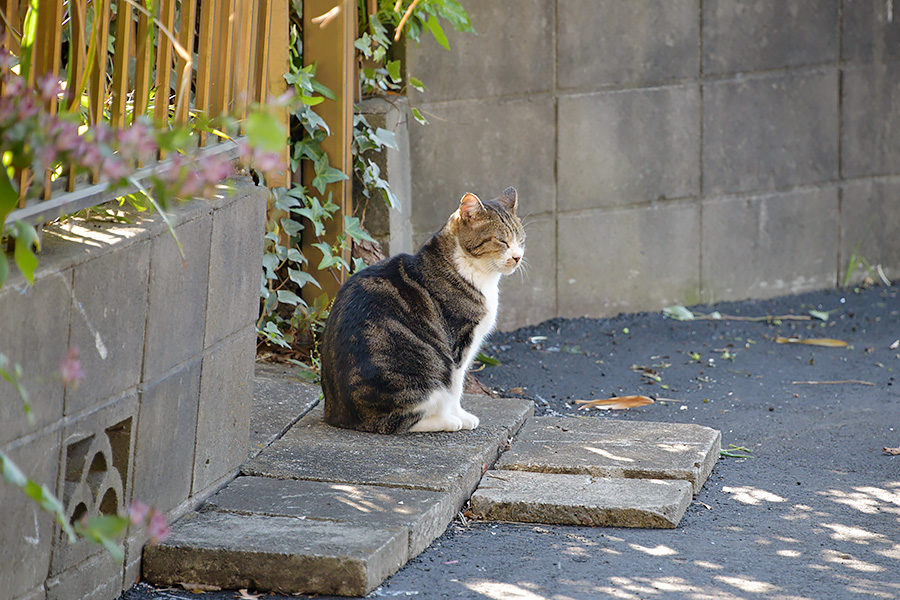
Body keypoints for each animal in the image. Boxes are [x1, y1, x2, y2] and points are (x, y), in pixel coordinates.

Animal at [320, 186, 524, 432]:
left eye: (520, 240)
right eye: (502, 241)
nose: (517, 257)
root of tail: (339, 416)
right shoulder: (459, 344)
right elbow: (456, 388)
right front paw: (461, 416)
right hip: (420, 375)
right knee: (401, 421)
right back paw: (448, 421)